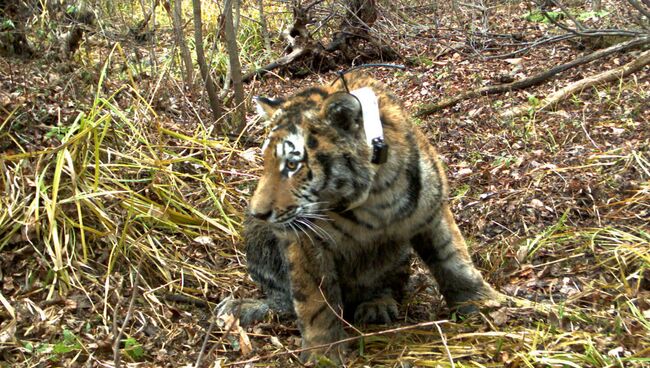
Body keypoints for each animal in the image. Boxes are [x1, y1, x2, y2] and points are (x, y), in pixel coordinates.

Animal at [218, 71, 496, 362]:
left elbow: (453, 259)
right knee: (281, 296)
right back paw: (242, 308)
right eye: (266, 163)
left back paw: (377, 305)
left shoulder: (431, 210)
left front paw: (486, 303)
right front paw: (322, 355)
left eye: (292, 165)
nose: (258, 212)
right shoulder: (306, 240)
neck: (374, 195)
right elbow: (315, 300)